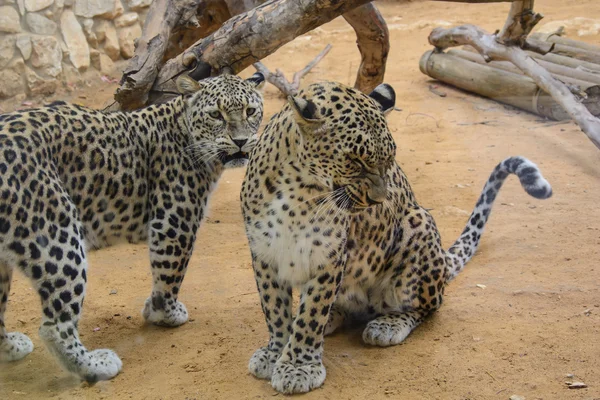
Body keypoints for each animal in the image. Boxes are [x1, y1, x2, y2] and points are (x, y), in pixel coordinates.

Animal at [0, 71, 264, 382]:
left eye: (250, 111)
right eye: (215, 115)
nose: (241, 141)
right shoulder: (175, 222)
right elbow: (170, 272)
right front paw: (165, 313)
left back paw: (11, 347)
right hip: (57, 233)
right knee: (55, 326)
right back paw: (94, 365)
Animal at [240, 80, 552, 394]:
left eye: (389, 160)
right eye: (355, 161)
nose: (379, 200)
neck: (297, 191)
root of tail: (443, 262)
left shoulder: (328, 257)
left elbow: (311, 314)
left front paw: (298, 366)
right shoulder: (264, 254)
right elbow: (274, 309)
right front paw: (275, 352)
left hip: (419, 227)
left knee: (427, 306)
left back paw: (386, 326)